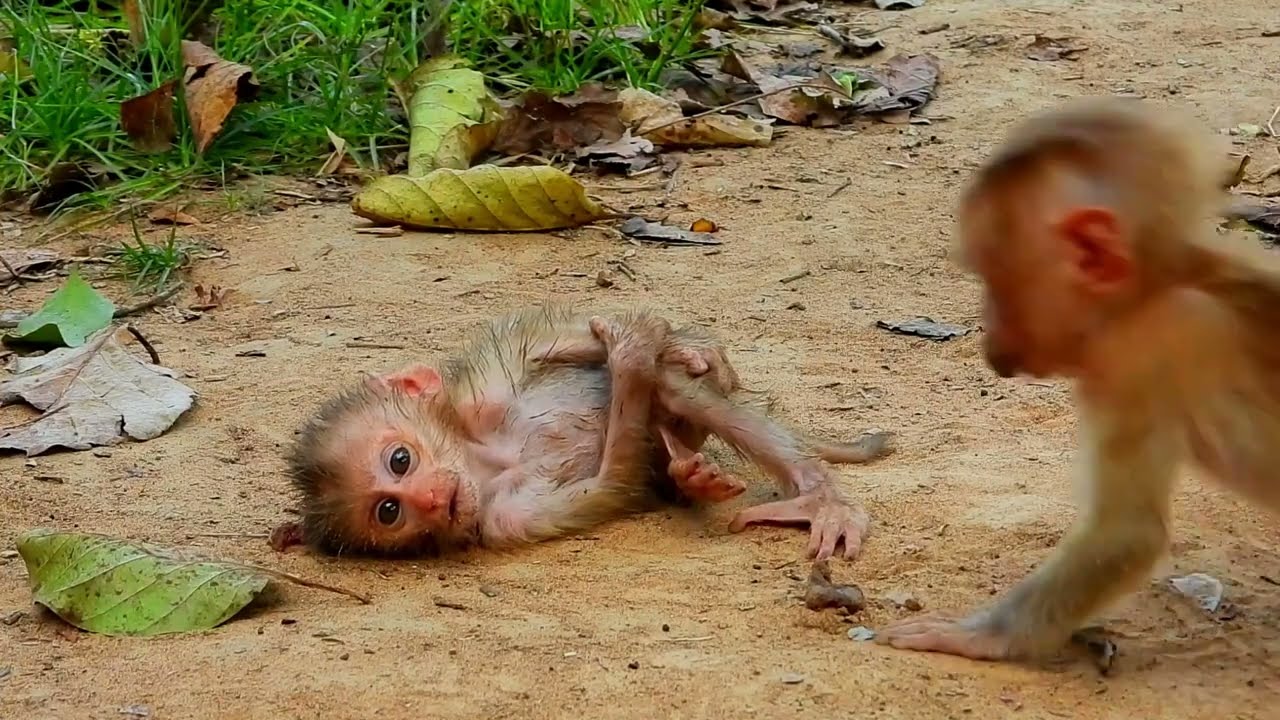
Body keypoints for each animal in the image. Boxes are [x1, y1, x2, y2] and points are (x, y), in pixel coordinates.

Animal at [284, 304, 893, 560]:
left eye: (400, 460)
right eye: (390, 512)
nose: (431, 500)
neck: (489, 460)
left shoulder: (483, 395)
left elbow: (565, 339)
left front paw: (651, 343)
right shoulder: (503, 518)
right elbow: (610, 485)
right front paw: (632, 358)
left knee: (675, 389)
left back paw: (820, 498)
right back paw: (689, 474)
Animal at [878, 96, 1280, 662]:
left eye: (990, 282)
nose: (987, 337)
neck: (1158, 286)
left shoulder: (1143, 356)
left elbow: (1127, 532)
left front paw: (984, 635)